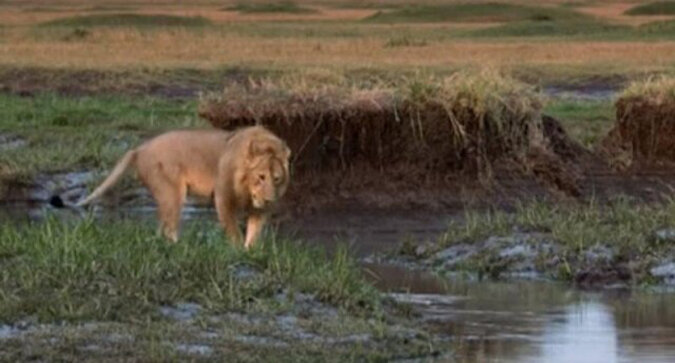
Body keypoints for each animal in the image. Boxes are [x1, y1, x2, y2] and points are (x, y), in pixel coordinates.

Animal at [70, 126, 290, 249]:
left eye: (277, 179)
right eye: (261, 177)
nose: (269, 199)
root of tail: (140, 148)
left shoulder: (261, 210)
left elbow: (254, 232)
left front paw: (249, 251)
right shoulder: (223, 197)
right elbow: (233, 230)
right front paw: (237, 249)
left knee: (162, 227)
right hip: (172, 193)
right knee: (169, 228)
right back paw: (180, 246)